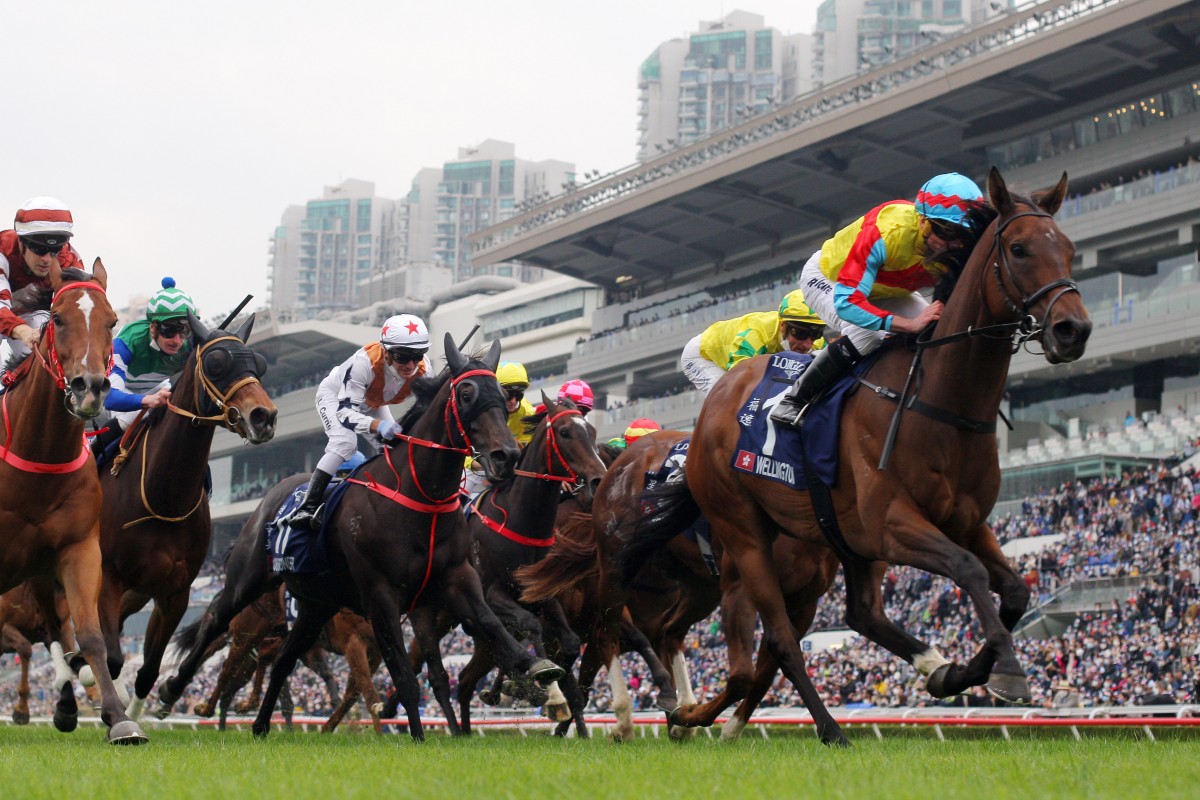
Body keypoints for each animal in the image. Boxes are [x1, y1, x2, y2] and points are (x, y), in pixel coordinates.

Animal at [0, 262, 146, 743]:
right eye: (59, 319)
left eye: (112, 321)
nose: (90, 388)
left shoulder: (78, 548)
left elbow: (90, 635)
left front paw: (119, 718)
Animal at [98, 309, 276, 719]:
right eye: (216, 362)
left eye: (258, 364)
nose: (264, 416)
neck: (163, 498)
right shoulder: (108, 577)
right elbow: (111, 658)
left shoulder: (174, 592)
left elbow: (148, 670)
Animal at [157, 335, 564, 743]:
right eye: (466, 394)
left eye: (500, 393)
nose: (506, 455)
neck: (420, 494)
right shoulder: (381, 596)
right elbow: (403, 676)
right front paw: (417, 738)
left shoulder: (458, 580)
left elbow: (493, 627)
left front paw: (537, 669)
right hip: (249, 581)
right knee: (216, 624)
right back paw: (170, 691)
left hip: (315, 604)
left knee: (283, 660)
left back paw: (259, 725)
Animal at [676, 165, 1089, 714]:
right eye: (1019, 249)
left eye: (1068, 248)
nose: (1073, 329)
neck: (938, 403)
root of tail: (720, 397)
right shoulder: (891, 524)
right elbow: (969, 571)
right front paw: (1007, 670)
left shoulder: (967, 522)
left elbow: (1016, 591)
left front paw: (968, 671)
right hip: (745, 532)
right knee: (782, 638)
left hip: (840, 538)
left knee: (861, 613)